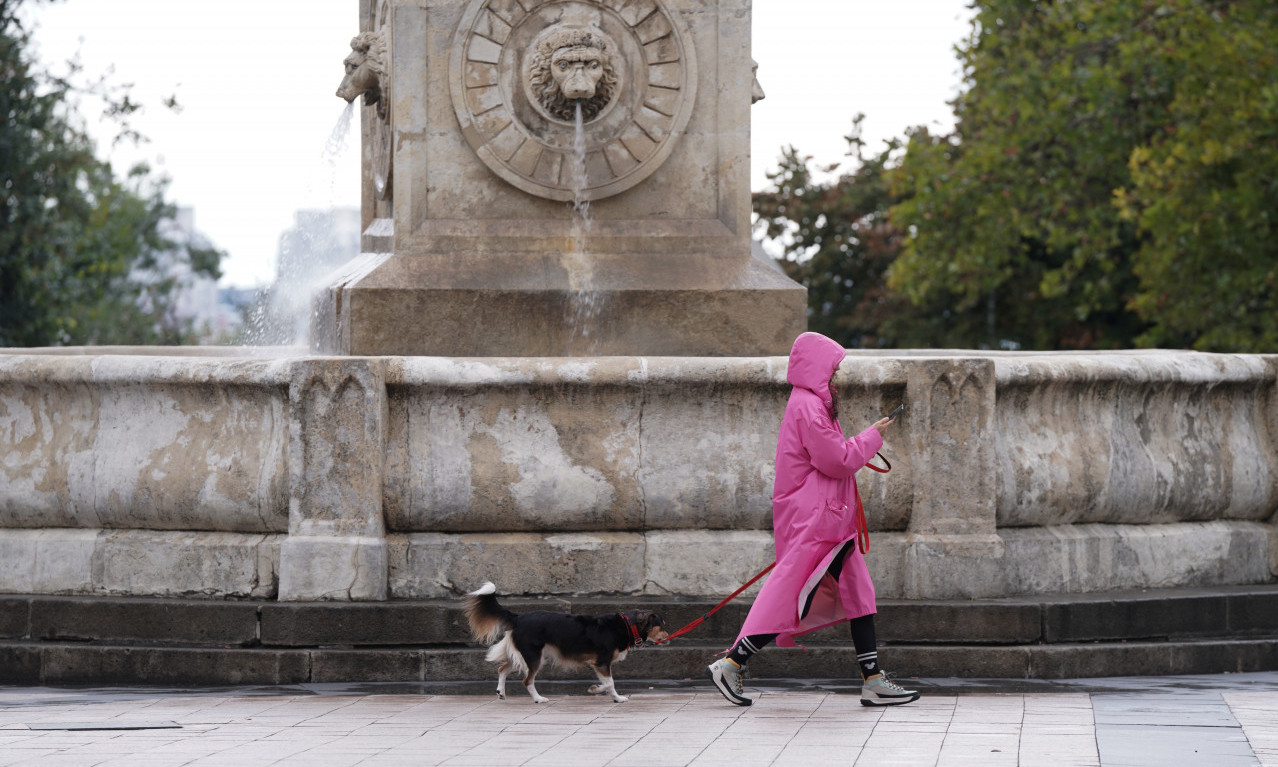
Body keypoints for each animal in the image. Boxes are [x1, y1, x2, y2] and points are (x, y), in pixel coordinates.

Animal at [467, 580, 669, 700]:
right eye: (661, 625)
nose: (668, 637)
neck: (627, 625)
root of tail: (519, 617)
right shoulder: (601, 662)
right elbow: (610, 683)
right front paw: (600, 691)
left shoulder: (599, 664)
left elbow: (608, 683)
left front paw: (611, 696)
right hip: (534, 656)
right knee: (527, 680)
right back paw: (538, 699)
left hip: (527, 655)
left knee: (502, 668)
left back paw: (501, 692)